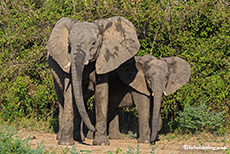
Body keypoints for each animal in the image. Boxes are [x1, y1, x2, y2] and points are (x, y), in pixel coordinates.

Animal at [46, 16, 139, 146]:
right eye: (69, 44)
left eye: (94, 43)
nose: (93, 129)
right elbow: (69, 94)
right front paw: (65, 144)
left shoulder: (104, 59)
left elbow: (102, 93)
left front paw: (101, 143)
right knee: (62, 99)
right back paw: (62, 137)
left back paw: (79, 138)